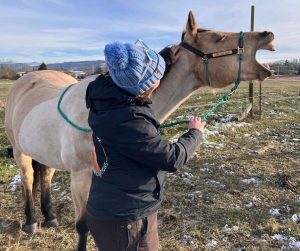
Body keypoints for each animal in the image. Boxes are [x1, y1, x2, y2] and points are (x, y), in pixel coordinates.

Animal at [4, 11, 274, 251]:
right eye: (219, 37)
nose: (267, 34)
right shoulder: (80, 177)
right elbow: (82, 227)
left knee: (45, 177)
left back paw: (49, 217)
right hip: (20, 152)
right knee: (28, 178)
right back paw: (30, 222)